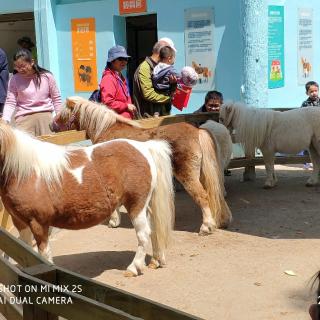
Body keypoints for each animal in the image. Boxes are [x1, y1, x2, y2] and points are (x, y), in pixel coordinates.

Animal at [0, 120, 174, 276]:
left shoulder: (39, 223)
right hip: (147, 205)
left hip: (136, 205)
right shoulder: (20, 222)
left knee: (144, 234)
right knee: (154, 230)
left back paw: (133, 268)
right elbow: (26, 252)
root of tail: (145, 147)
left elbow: (43, 255)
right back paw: (155, 260)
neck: (24, 172)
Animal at [50, 96, 231, 234]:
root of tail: (197, 131)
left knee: (203, 196)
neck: (106, 129)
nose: (52, 126)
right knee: (216, 193)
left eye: (63, 112)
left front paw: (114, 221)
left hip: (188, 175)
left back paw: (206, 227)